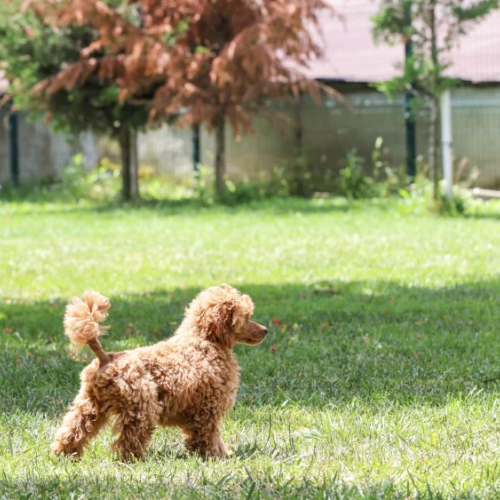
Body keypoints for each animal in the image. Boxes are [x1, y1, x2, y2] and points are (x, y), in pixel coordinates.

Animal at [52, 286, 268, 460]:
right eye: (246, 318)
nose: (266, 330)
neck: (206, 341)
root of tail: (106, 358)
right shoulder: (208, 408)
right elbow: (210, 436)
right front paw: (217, 456)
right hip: (142, 407)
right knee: (128, 440)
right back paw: (132, 461)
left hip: (90, 404)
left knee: (73, 430)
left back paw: (64, 455)